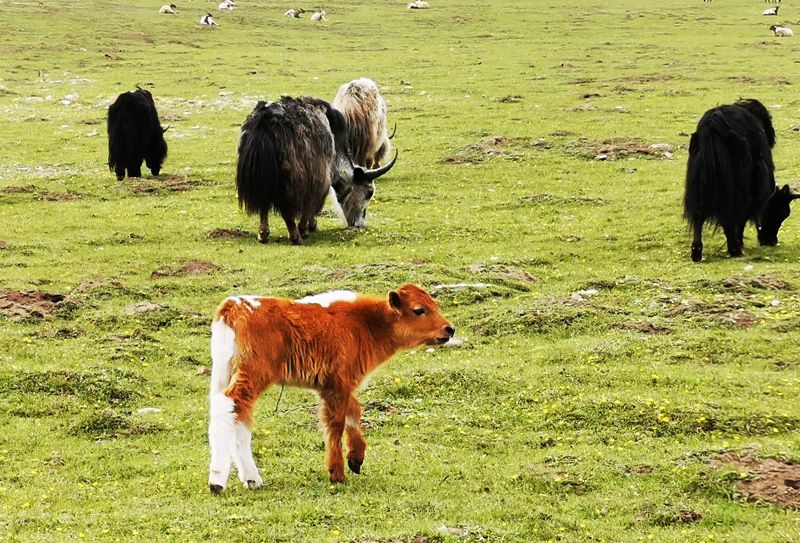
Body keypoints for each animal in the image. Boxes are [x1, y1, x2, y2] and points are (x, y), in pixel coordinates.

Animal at [208, 284, 456, 492]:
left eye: (435, 306)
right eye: (419, 310)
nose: (450, 329)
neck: (365, 322)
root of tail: (235, 305)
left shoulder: (333, 386)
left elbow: (354, 411)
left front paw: (356, 458)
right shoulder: (338, 384)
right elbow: (336, 423)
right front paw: (337, 473)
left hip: (226, 375)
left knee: (237, 415)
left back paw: (251, 479)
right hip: (252, 375)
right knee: (229, 407)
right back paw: (218, 481)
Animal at [680, 99, 800, 262]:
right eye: (782, 212)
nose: (771, 242)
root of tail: (712, 126)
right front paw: (740, 243)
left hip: (699, 182)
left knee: (699, 215)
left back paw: (697, 252)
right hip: (737, 186)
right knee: (731, 215)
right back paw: (735, 249)